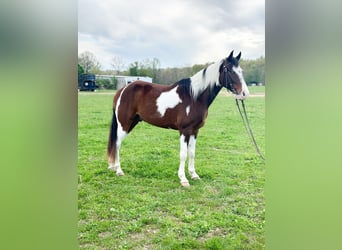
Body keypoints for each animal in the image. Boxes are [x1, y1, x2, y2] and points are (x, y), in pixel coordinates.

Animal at [106, 50, 248, 187]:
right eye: (230, 70)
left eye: (241, 71)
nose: (244, 93)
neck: (194, 97)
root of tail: (122, 90)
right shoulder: (184, 130)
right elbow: (183, 154)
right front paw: (183, 179)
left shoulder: (195, 131)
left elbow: (192, 153)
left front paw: (194, 175)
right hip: (124, 124)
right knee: (117, 144)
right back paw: (119, 170)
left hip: (132, 123)